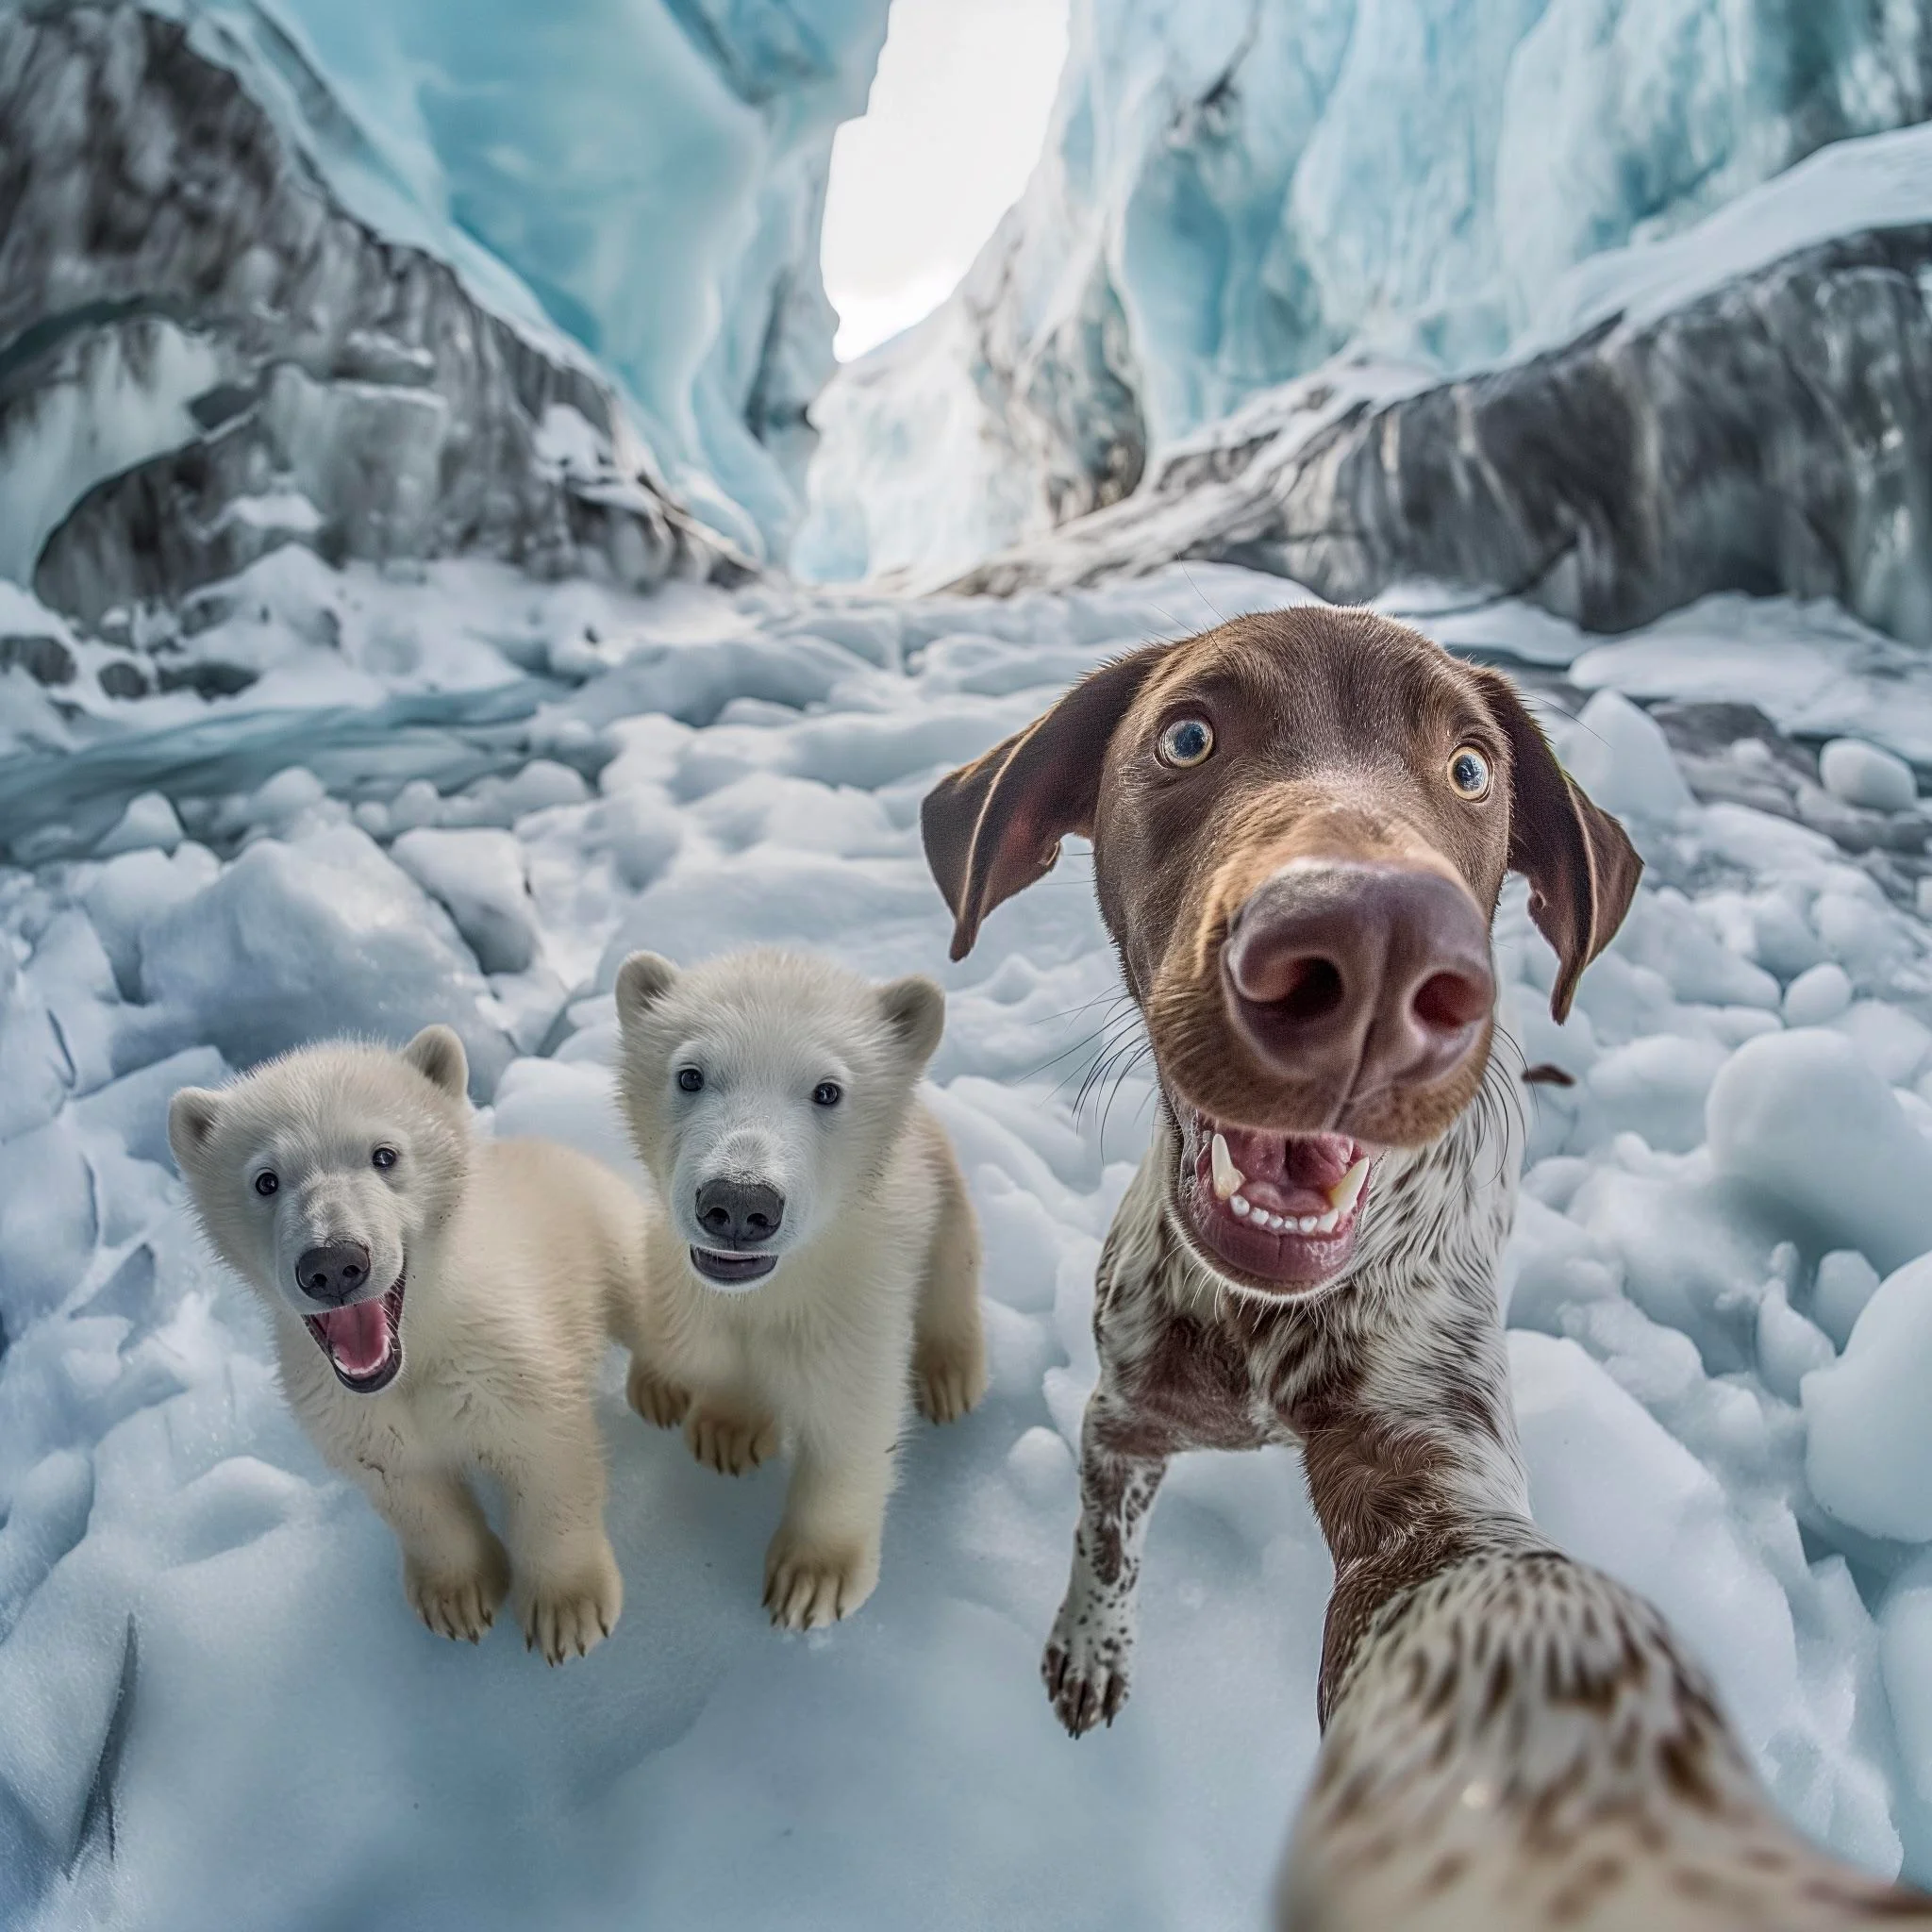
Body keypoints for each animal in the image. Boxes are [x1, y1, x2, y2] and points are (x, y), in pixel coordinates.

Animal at [923, 607, 1932, 1932]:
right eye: (1186, 735)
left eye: (1468, 768)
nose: (1374, 945)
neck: (1260, 1316)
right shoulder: (1122, 1411)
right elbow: (1105, 1544)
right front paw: (1090, 1646)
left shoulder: (1426, 1451)